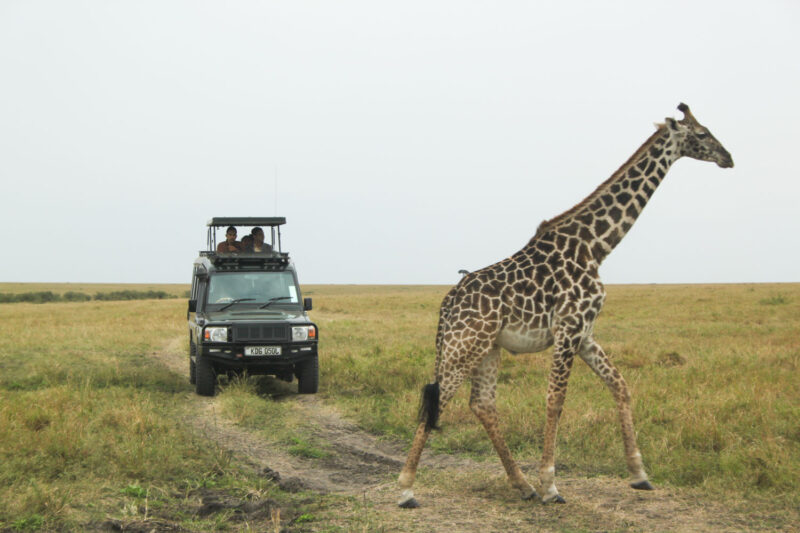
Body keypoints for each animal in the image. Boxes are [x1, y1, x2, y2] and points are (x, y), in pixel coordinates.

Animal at [396, 102, 736, 504]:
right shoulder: (569, 327)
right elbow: (555, 400)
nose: (728, 158)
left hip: (488, 348)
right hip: (464, 346)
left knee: (482, 403)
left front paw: (639, 474)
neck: (596, 246)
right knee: (438, 399)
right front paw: (550, 485)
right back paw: (407, 488)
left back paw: (521, 484)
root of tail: (447, 304)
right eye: (701, 134)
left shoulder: (586, 333)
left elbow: (621, 386)